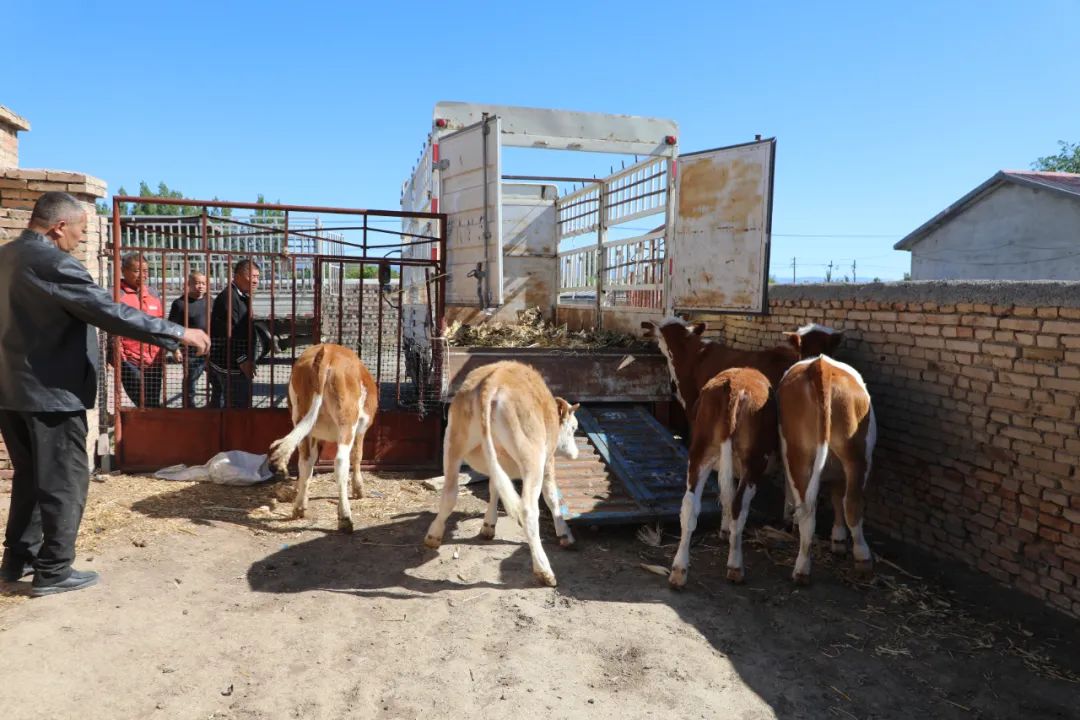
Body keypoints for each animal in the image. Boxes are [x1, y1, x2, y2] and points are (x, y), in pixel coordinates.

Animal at [268, 343, 378, 533]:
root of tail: (328, 351)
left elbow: (311, 463)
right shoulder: (361, 429)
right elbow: (358, 456)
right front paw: (359, 489)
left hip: (301, 418)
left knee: (304, 461)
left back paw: (299, 507)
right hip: (347, 421)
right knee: (341, 462)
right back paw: (345, 517)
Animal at [423, 361, 580, 587]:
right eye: (574, 428)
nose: (576, 454)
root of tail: (494, 378)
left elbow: (494, 487)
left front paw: (488, 525)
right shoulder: (548, 461)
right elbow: (552, 497)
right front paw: (565, 533)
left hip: (453, 443)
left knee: (449, 494)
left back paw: (433, 536)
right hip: (532, 458)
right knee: (528, 510)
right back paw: (544, 570)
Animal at [669, 367, 776, 588]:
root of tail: (734, 387)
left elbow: (725, 493)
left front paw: (724, 530)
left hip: (701, 453)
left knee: (690, 505)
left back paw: (678, 570)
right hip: (754, 463)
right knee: (738, 507)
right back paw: (735, 567)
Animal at [778, 352, 876, 584]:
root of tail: (820, 366)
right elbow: (839, 499)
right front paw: (838, 539)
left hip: (799, 454)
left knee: (808, 509)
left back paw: (802, 568)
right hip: (855, 456)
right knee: (851, 505)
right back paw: (862, 557)